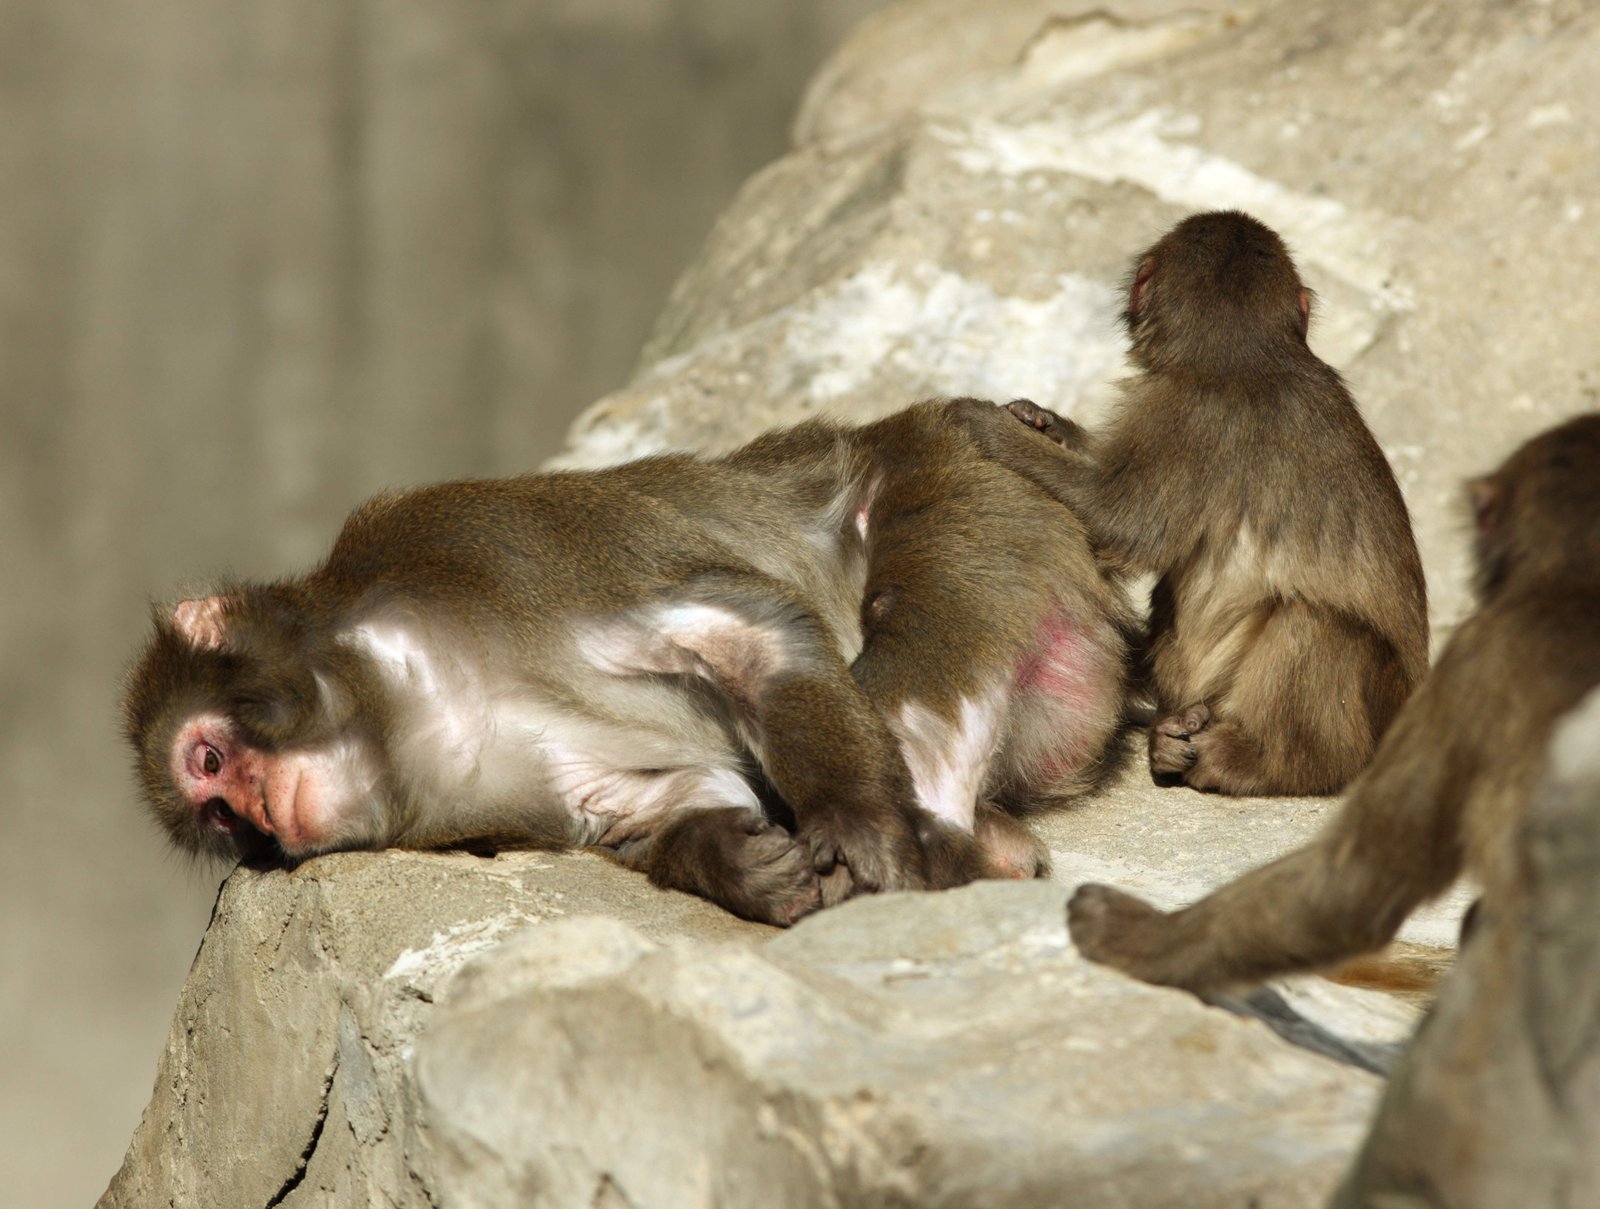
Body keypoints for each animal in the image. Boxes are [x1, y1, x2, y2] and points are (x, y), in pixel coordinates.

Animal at [124, 400, 1133, 927]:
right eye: (222, 820)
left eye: (209, 760)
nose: (260, 810)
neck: (410, 692)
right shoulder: (503, 785)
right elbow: (665, 799)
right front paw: (738, 863)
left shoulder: (485, 551)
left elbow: (747, 630)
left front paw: (853, 823)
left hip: (973, 496)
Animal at [950, 211, 1428, 796]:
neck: (1242, 352)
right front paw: (1041, 422)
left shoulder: (1184, 411)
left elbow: (1122, 521)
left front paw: (990, 428)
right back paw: (1170, 738)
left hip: (1371, 719)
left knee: (1319, 624)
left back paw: (1266, 763)